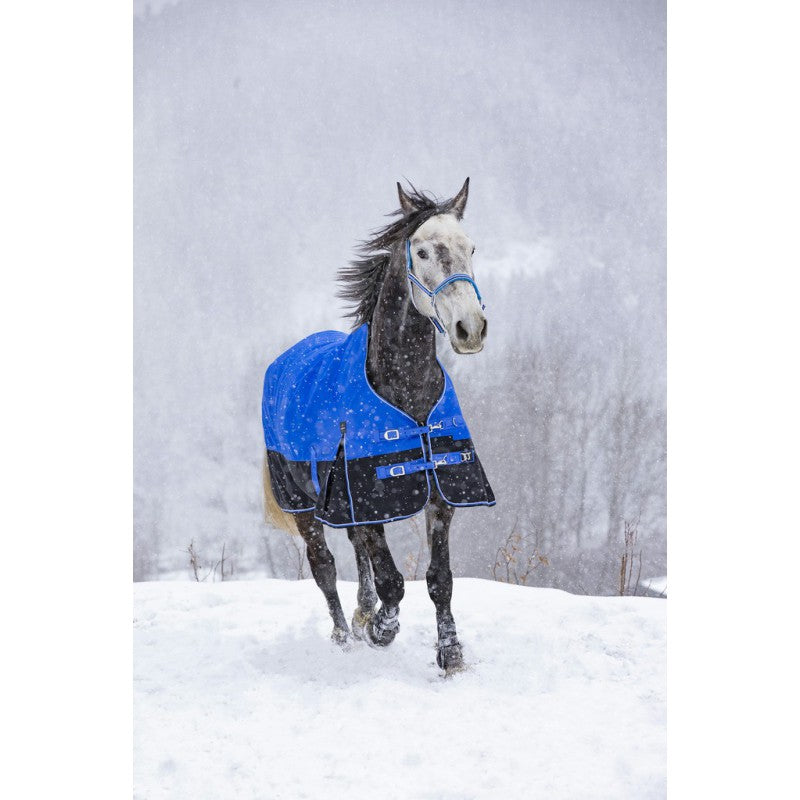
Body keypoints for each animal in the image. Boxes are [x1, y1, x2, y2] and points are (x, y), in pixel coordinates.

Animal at [261, 179, 494, 673]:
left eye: (470, 247)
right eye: (422, 252)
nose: (470, 329)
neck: (405, 388)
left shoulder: (437, 490)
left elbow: (439, 578)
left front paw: (450, 653)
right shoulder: (363, 489)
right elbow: (393, 581)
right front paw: (381, 630)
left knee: (355, 549)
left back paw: (360, 614)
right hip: (304, 504)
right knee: (324, 565)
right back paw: (344, 635)